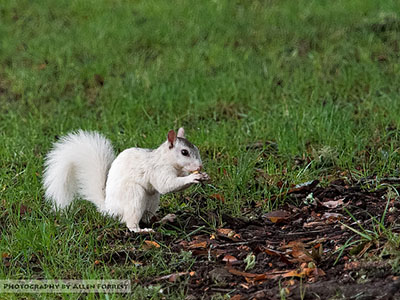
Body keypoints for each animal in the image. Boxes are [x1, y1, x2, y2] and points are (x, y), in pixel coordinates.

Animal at [43, 127, 209, 232]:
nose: (200, 166)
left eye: (196, 149)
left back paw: (164, 219)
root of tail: (109, 209)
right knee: (131, 223)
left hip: (152, 199)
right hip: (134, 195)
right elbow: (166, 185)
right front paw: (193, 177)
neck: (166, 160)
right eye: (184, 152)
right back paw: (141, 230)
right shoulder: (158, 170)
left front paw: (202, 176)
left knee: (147, 218)